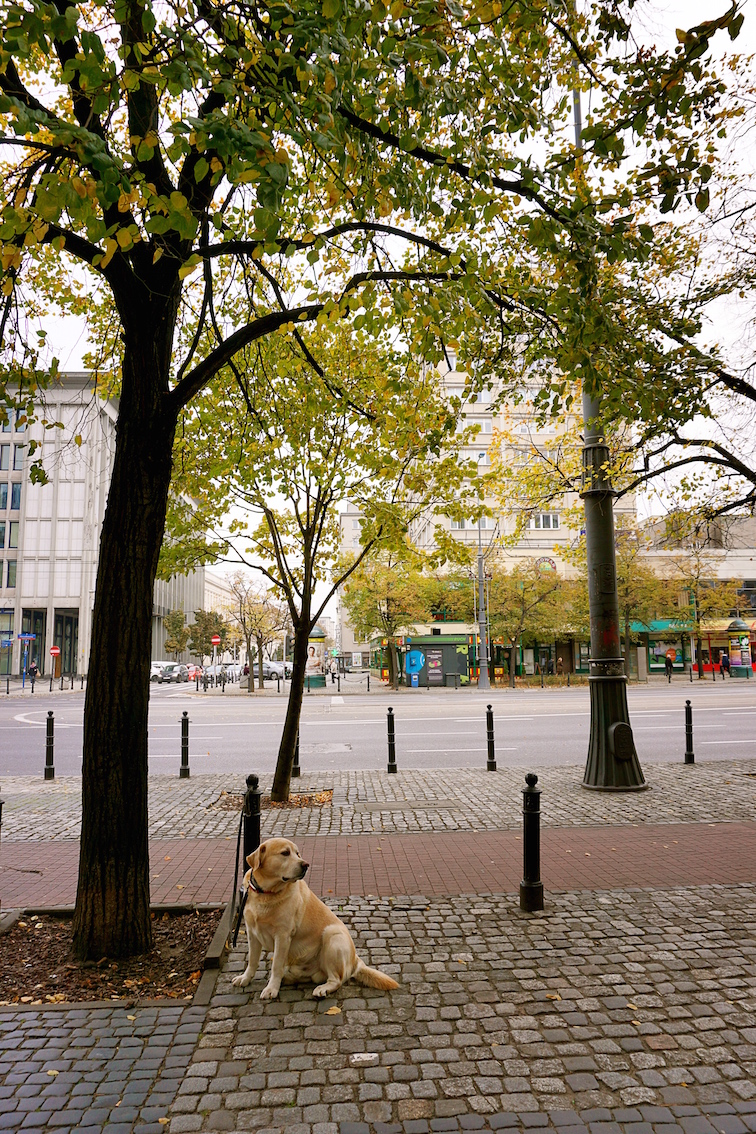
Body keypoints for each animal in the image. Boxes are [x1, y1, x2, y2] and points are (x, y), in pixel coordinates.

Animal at [231, 834, 398, 1002]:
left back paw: (322, 989)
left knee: (337, 980)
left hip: (332, 936)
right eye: (285, 853)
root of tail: (355, 960)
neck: (265, 893)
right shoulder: (252, 933)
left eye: (297, 853)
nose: (305, 865)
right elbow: (252, 960)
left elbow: (276, 965)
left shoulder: (283, 936)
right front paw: (245, 978)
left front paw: (272, 989)